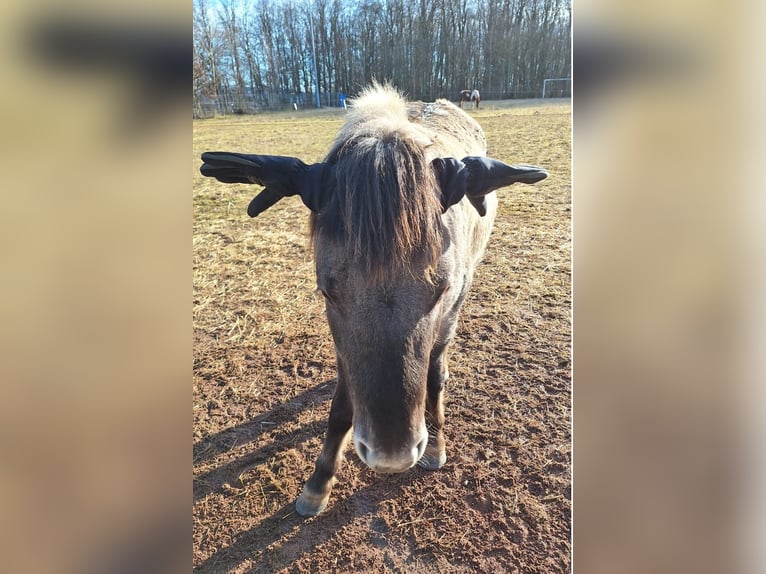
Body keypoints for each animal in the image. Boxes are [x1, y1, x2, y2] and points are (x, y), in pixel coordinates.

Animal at [198, 84, 544, 516]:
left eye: (440, 288)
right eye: (327, 290)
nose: (391, 455)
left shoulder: (451, 306)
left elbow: (432, 377)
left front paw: (436, 447)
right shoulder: (341, 341)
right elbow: (342, 407)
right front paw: (318, 484)